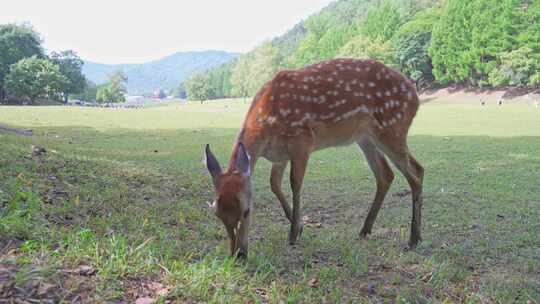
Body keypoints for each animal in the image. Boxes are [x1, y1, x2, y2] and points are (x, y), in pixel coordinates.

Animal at [205, 58, 424, 258]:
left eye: (247, 211)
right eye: (217, 214)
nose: (238, 254)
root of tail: (415, 95)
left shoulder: (302, 141)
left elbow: (295, 183)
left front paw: (293, 234)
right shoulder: (280, 155)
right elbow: (274, 183)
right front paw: (299, 226)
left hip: (391, 127)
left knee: (416, 171)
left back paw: (413, 240)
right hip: (365, 137)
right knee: (386, 174)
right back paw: (365, 230)